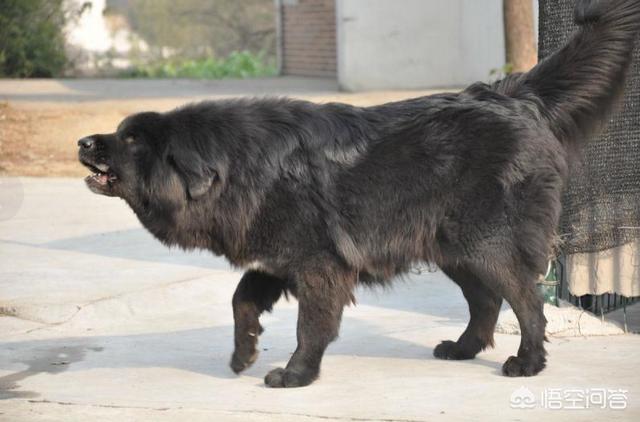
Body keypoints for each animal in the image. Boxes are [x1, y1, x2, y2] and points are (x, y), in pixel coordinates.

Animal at [79, 0, 640, 388]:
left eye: (132, 140)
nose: (83, 141)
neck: (239, 168)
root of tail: (515, 96)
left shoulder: (318, 266)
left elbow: (311, 326)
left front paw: (295, 375)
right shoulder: (279, 258)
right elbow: (241, 298)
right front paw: (245, 352)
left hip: (487, 244)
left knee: (526, 303)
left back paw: (527, 362)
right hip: (452, 248)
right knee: (485, 301)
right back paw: (463, 349)